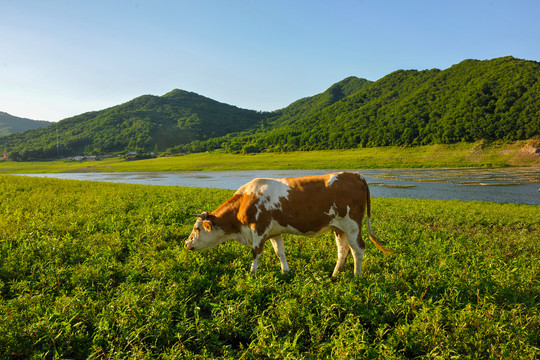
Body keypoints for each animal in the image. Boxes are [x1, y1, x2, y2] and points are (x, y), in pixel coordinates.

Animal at [186, 172, 392, 276]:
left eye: (197, 228)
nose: (187, 244)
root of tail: (356, 175)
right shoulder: (274, 232)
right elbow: (280, 252)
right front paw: (285, 272)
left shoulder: (259, 229)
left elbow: (256, 253)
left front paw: (252, 273)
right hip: (339, 228)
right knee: (343, 249)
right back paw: (335, 274)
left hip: (352, 225)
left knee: (358, 249)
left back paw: (357, 276)